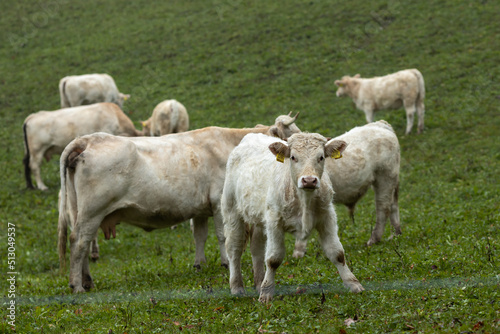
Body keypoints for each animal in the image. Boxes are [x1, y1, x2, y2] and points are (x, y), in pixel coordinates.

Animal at [58, 113, 300, 292]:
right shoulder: (219, 202)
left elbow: (200, 235)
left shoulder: (201, 209)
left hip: (80, 211)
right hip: (92, 212)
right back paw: (77, 285)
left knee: (83, 244)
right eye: (291, 137)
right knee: (78, 242)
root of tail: (88, 139)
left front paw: (200, 264)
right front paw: (224, 263)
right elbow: (222, 236)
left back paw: (87, 281)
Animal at [223, 132, 364, 302]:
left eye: (321, 157)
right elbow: (273, 259)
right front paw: (266, 293)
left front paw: (354, 284)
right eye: (293, 157)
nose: (309, 180)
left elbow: (337, 253)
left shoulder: (327, 216)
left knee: (256, 248)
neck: (304, 200)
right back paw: (237, 288)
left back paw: (258, 283)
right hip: (231, 210)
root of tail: (251, 135)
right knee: (234, 249)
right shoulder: (274, 221)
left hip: (258, 219)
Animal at [292, 120, 402, 258]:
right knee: (393, 205)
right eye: (293, 157)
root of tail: (380, 125)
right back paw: (395, 234)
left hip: (385, 177)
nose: (308, 180)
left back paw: (373, 239)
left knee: (383, 207)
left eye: (320, 157)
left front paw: (298, 252)